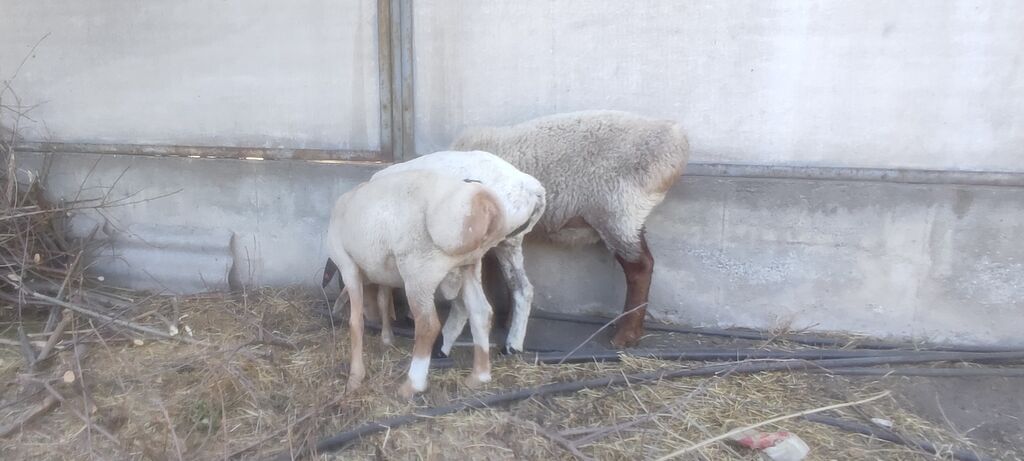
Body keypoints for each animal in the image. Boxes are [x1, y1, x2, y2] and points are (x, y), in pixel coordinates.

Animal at [324, 169, 506, 398]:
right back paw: (479, 377)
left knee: (428, 325)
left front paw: (355, 377)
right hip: (470, 266)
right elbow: (384, 301)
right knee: (481, 312)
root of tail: (483, 204)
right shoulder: (385, 273)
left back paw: (412, 384)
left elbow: (355, 322)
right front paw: (386, 338)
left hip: (419, 270)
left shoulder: (347, 265)